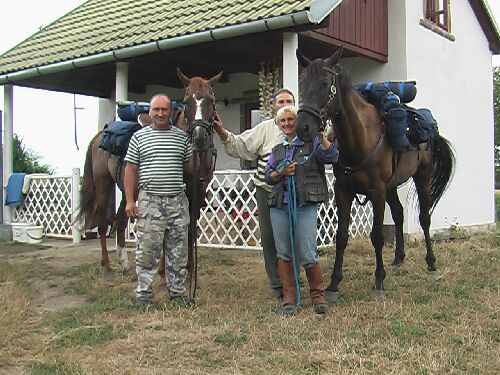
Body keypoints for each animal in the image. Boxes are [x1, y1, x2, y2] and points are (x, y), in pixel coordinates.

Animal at [77, 69, 222, 284]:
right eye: (186, 101)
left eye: (211, 100)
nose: (199, 138)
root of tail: (99, 136)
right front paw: (163, 274)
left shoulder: (197, 196)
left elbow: (190, 233)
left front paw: (188, 273)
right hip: (103, 184)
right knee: (103, 223)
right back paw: (108, 268)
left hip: (128, 192)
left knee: (120, 221)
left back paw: (126, 266)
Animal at [294, 49, 456, 302]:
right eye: (302, 83)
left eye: (324, 83)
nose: (303, 127)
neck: (360, 139)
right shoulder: (343, 192)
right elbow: (341, 236)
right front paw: (333, 284)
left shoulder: (376, 191)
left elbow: (377, 235)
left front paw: (379, 281)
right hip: (391, 187)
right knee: (398, 214)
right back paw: (398, 258)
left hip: (421, 178)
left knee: (424, 218)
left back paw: (431, 263)